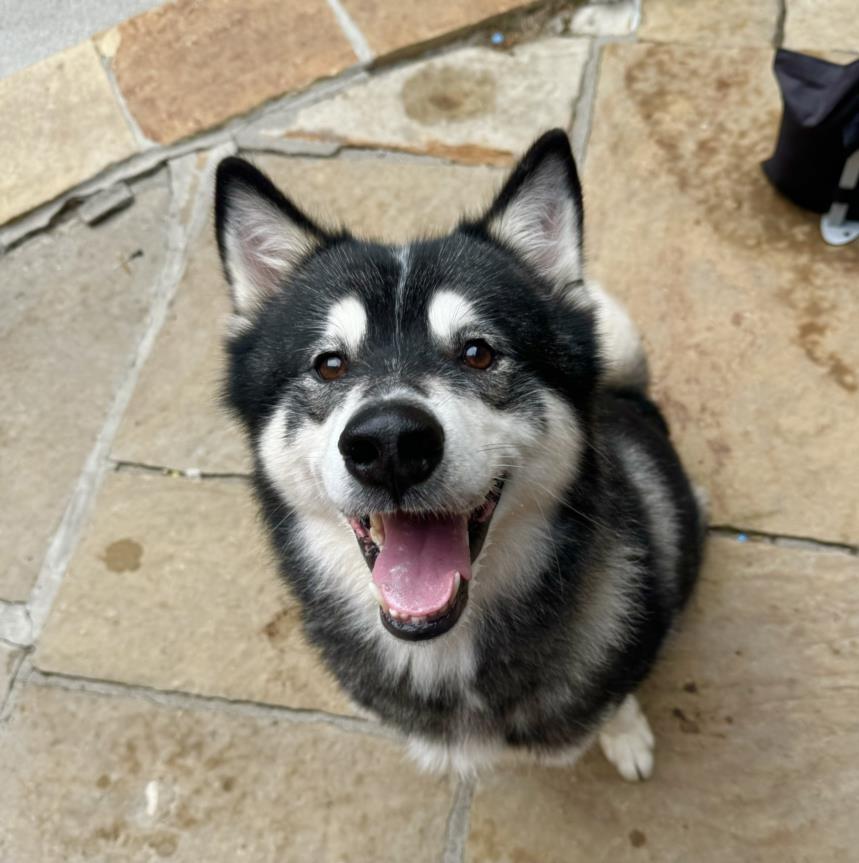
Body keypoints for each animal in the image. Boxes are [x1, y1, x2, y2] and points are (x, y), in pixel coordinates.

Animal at [213, 130, 704, 784]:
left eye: (477, 353)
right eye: (330, 364)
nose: (390, 443)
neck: (444, 647)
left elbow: (617, 696)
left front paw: (624, 736)